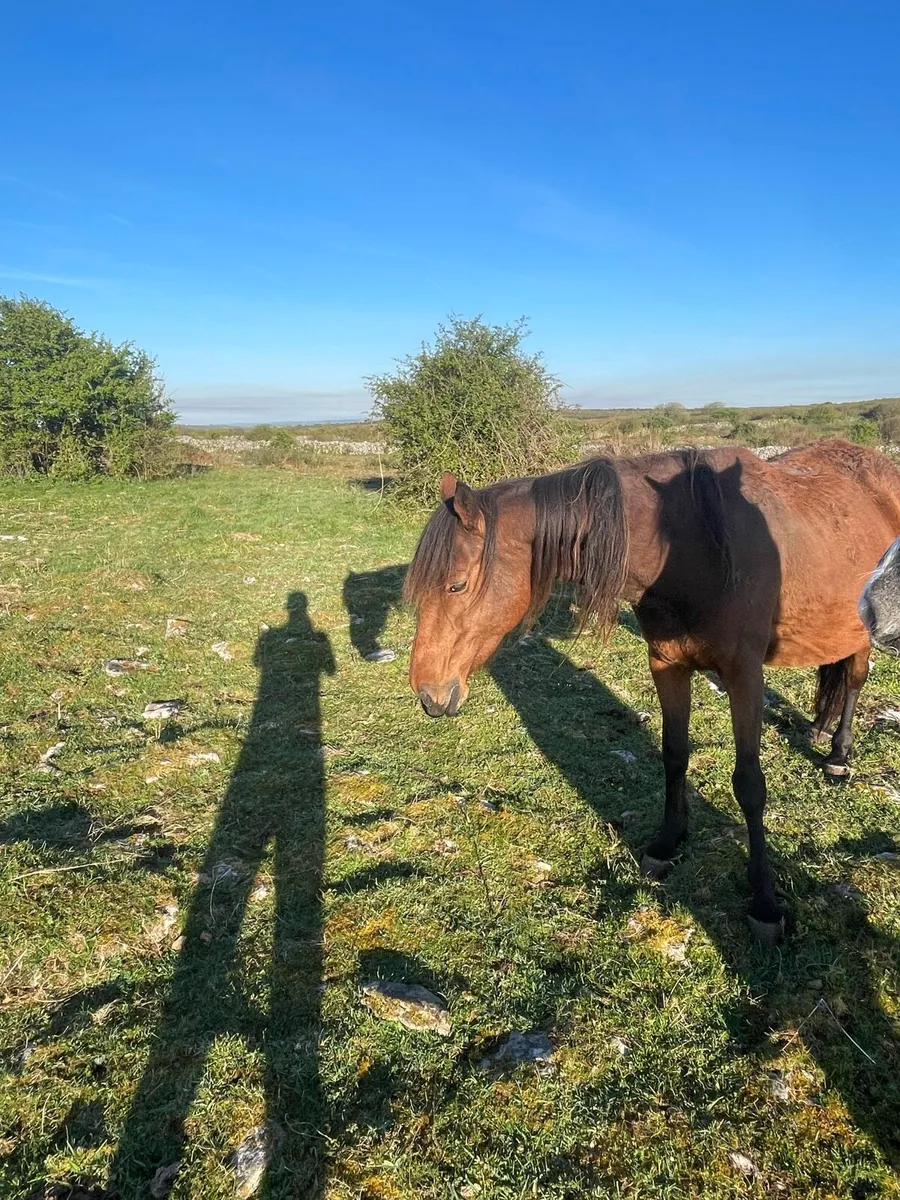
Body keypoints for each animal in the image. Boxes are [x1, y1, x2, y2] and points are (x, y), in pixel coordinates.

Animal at [404, 439, 900, 941]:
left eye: (457, 584)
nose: (428, 694)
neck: (689, 549)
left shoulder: (744, 677)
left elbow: (749, 785)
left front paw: (765, 903)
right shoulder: (667, 665)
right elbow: (674, 754)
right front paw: (667, 843)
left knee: (855, 678)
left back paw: (839, 754)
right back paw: (819, 729)